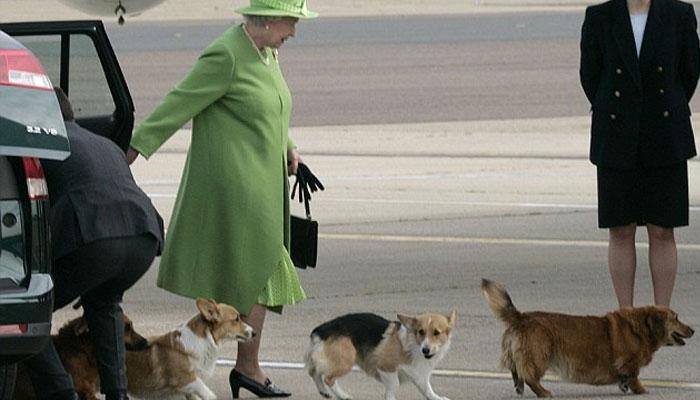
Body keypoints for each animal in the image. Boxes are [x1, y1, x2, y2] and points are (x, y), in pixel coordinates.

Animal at [127, 296, 256, 400]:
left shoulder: (190, 390)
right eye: (236, 319)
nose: (254, 333)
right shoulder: (185, 379)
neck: (205, 340)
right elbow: (203, 389)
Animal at [304, 312, 456, 400]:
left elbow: (427, 390)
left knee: (314, 372)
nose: (426, 350)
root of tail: (320, 330)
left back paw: (324, 392)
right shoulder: (385, 366)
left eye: (436, 333)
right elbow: (394, 385)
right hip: (346, 360)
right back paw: (343, 395)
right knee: (328, 378)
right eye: (421, 332)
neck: (412, 345)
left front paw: (437, 398)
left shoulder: (420, 376)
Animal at [482, 278, 696, 396]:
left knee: (516, 370)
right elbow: (634, 377)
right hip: (540, 356)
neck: (641, 328)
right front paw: (641, 390)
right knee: (529, 376)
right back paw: (544, 392)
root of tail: (521, 317)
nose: (693, 330)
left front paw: (624, 386)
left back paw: (519, 387)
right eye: (676, 318)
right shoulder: (630, 363)